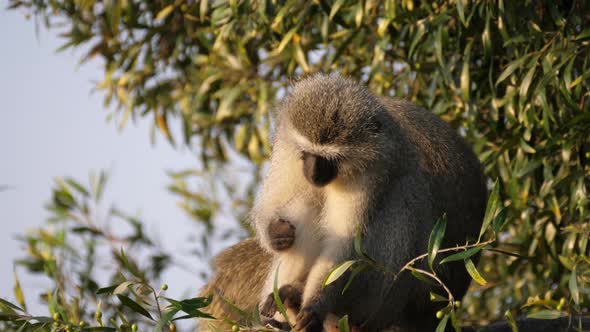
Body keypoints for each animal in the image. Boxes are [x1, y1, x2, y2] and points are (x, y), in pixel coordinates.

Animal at [252, 74, 488, 332]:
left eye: (332, 159)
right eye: (307, 153)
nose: (313, 174)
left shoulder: (371, 172)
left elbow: (343, 243)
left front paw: (314, 306)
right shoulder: (287, 149)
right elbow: (274, 203)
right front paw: (275, 232)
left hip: (389, 301)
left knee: (405, 194)